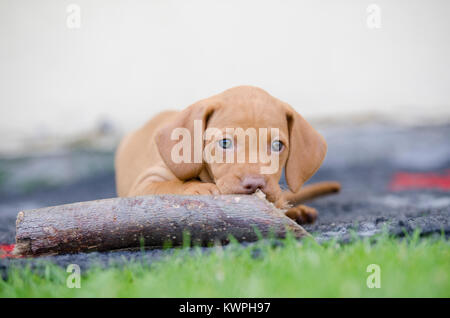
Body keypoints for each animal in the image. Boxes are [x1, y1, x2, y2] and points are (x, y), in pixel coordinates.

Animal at [114, 85, 340, 224]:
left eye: (278, 145)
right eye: (225, 143)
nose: (255, 183)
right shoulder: (143, 185)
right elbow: (172, 186)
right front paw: (197, 189)